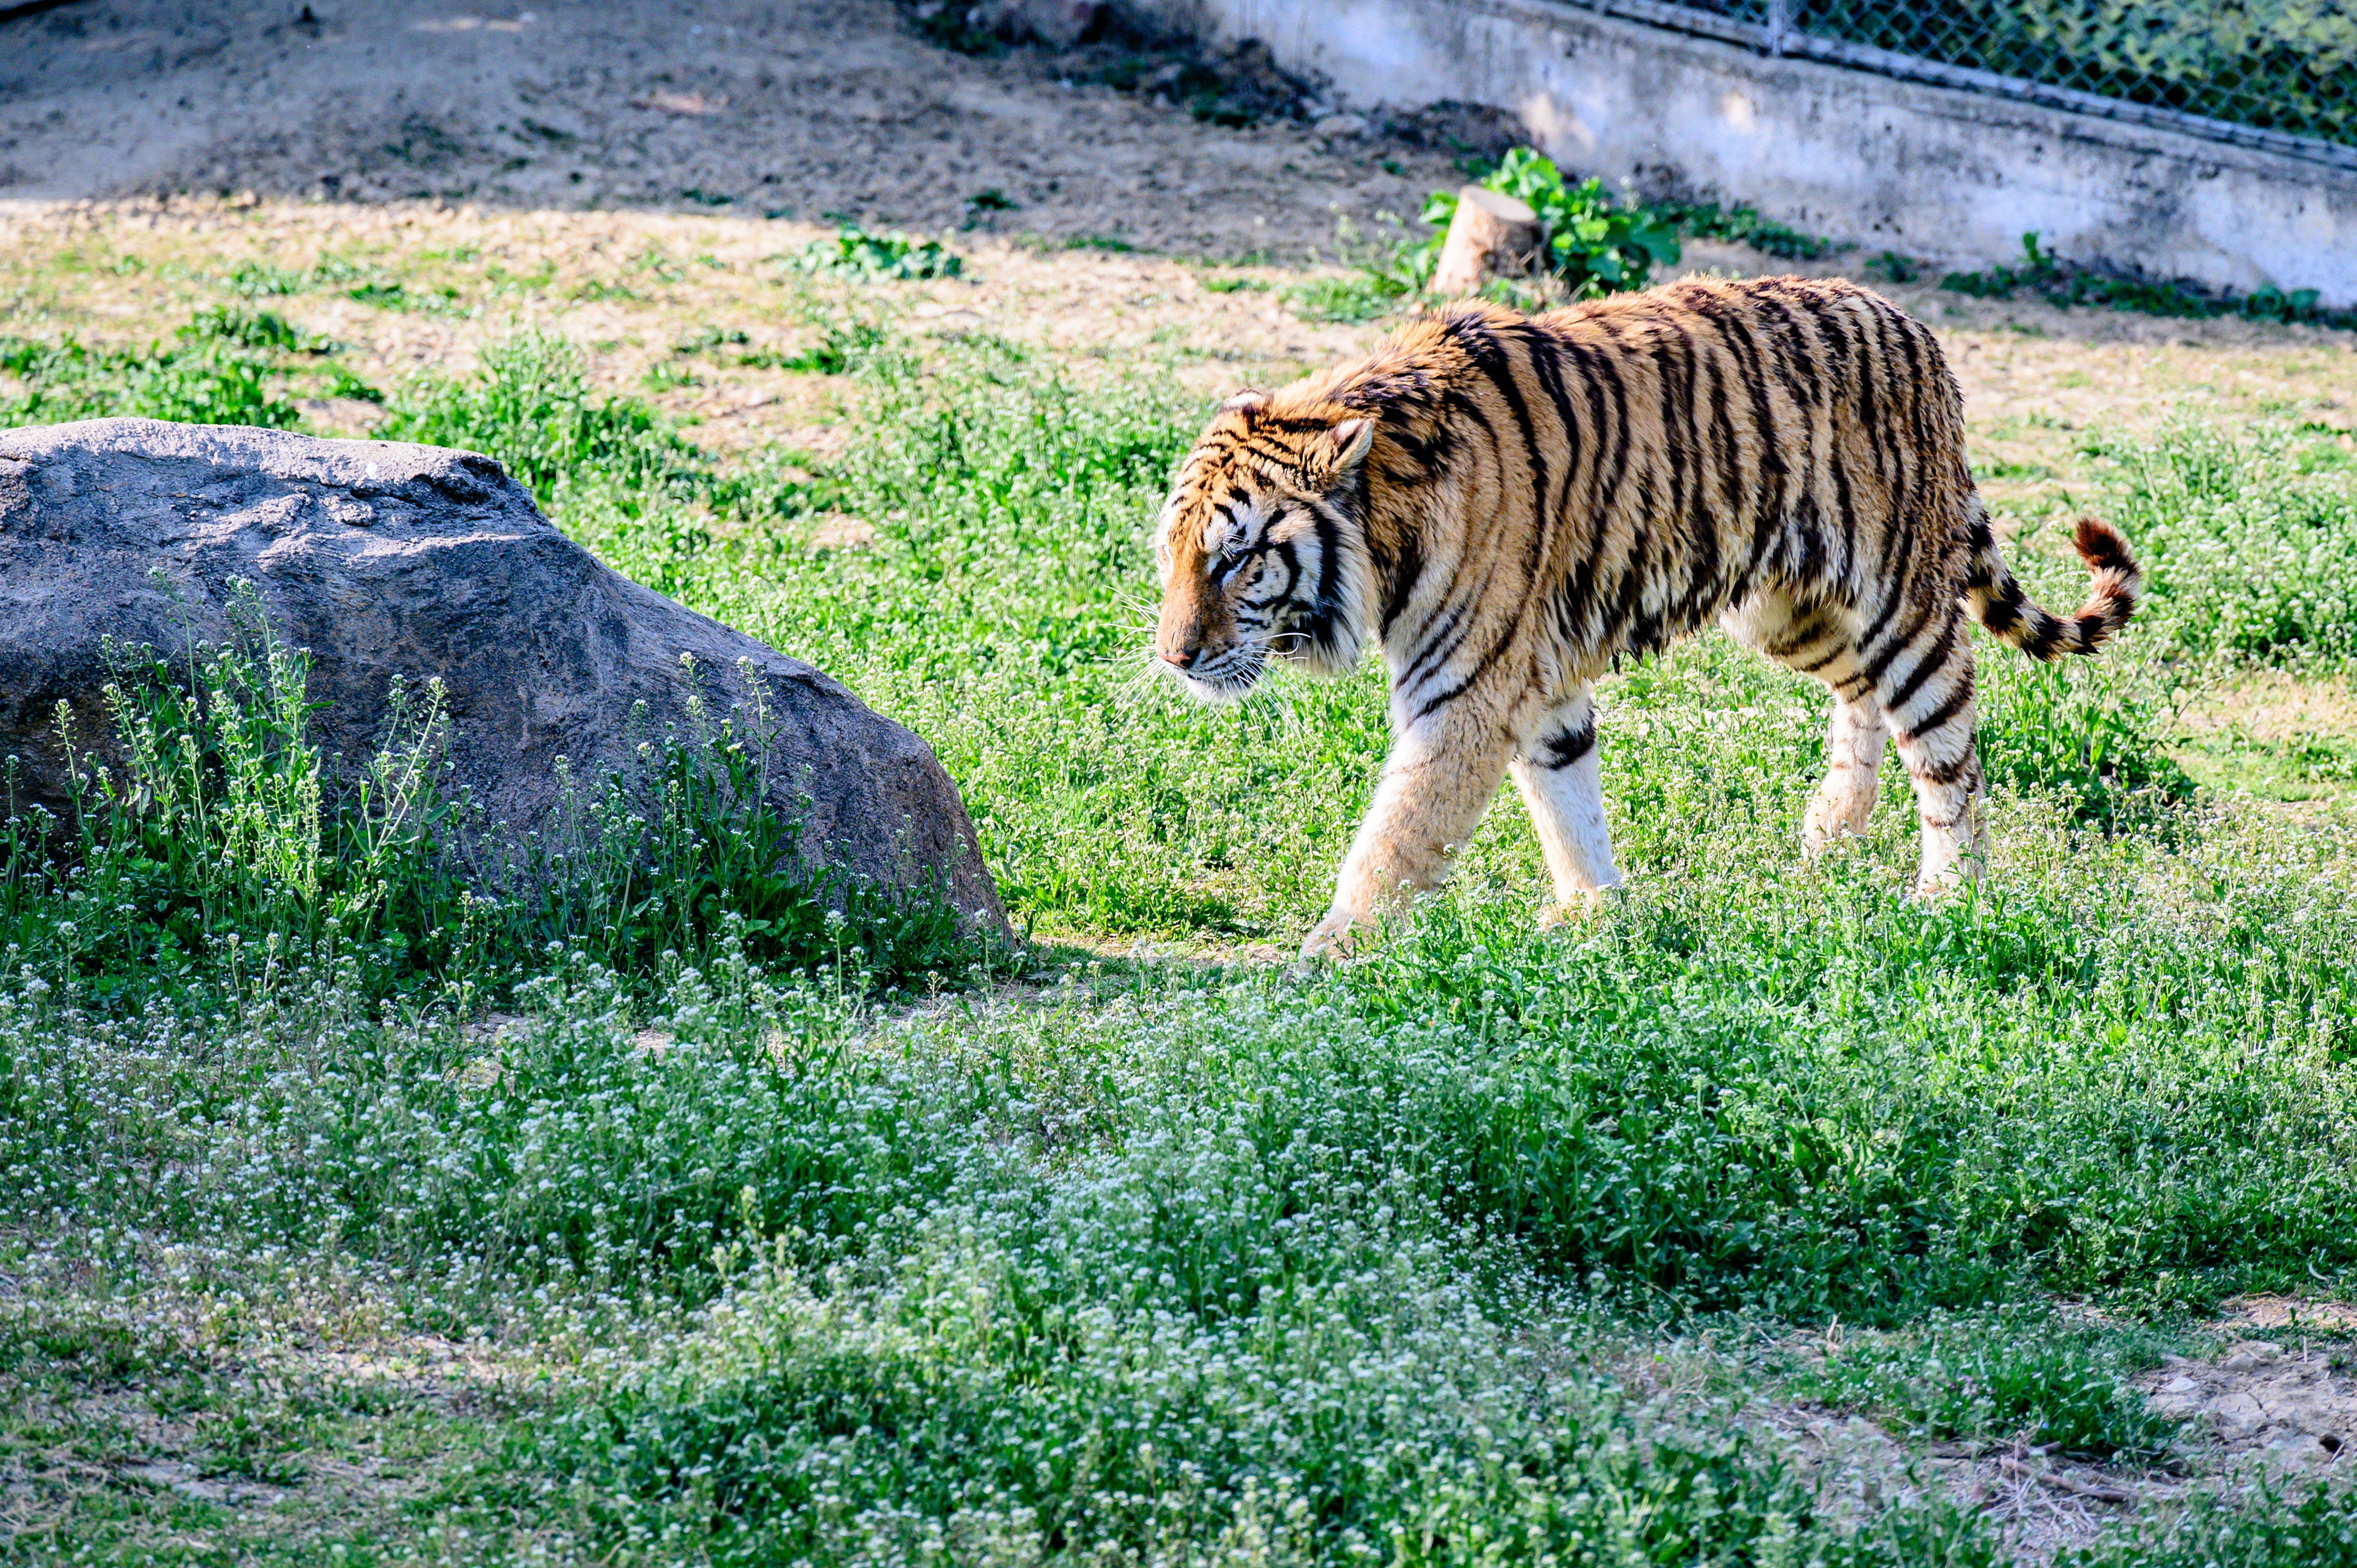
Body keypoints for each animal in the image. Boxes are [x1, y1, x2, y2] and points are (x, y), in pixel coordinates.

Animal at [1150, 273, 2149, 952]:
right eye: (1172, 555)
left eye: (1234, 559)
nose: (1173, 659)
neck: (1388, 513)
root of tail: (1917, 332)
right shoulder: (1535, 682)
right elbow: (1565, 797)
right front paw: (1592, 914)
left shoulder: (1464, 692)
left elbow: (1397, 836)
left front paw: (1324, 960)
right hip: (1792, 612)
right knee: (1861, 698)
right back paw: (1831, 826)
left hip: (1897, 603)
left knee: (1945, 746)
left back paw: (1947, 898)